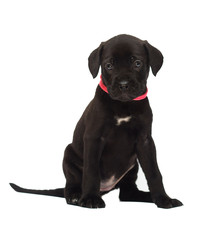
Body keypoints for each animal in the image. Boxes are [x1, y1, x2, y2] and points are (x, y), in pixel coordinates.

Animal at [10, 33, 183, 208]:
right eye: (108, 65)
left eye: (137, 63)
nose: (123, 85)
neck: (123, 106)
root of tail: (105, 188)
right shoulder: (94, 138)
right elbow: (91, 171)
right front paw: (90, 199)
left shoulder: (145, 141)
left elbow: (154, 172)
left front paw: (163, 198)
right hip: (69, 156)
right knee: (70, 185)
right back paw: (76, 196)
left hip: (132, 166)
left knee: (128, 194)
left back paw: (149, 197)